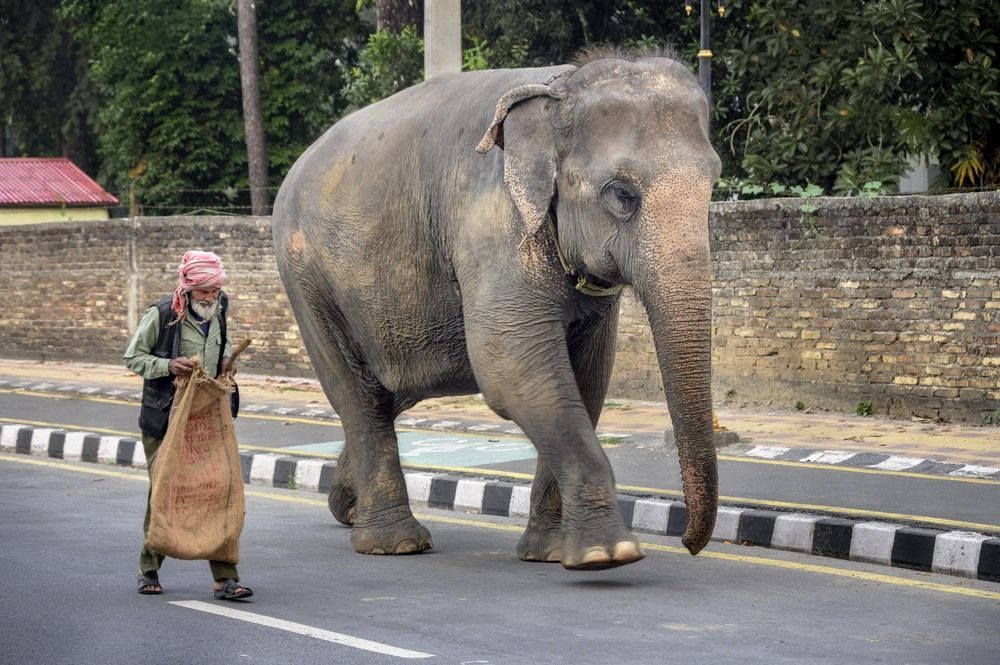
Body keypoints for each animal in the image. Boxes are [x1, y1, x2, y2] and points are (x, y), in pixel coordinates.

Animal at [271, 47, 721, 570]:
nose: (689, 543)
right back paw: (395, 543)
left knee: (390, 390)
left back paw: (346, 507)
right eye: (622, 194)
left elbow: (586, 379)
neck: (562, 87)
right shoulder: (490, 224)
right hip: (307, 279)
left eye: (714, 183)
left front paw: (550, 553)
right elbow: (512, 369)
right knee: (358, 395)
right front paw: (608, 554)